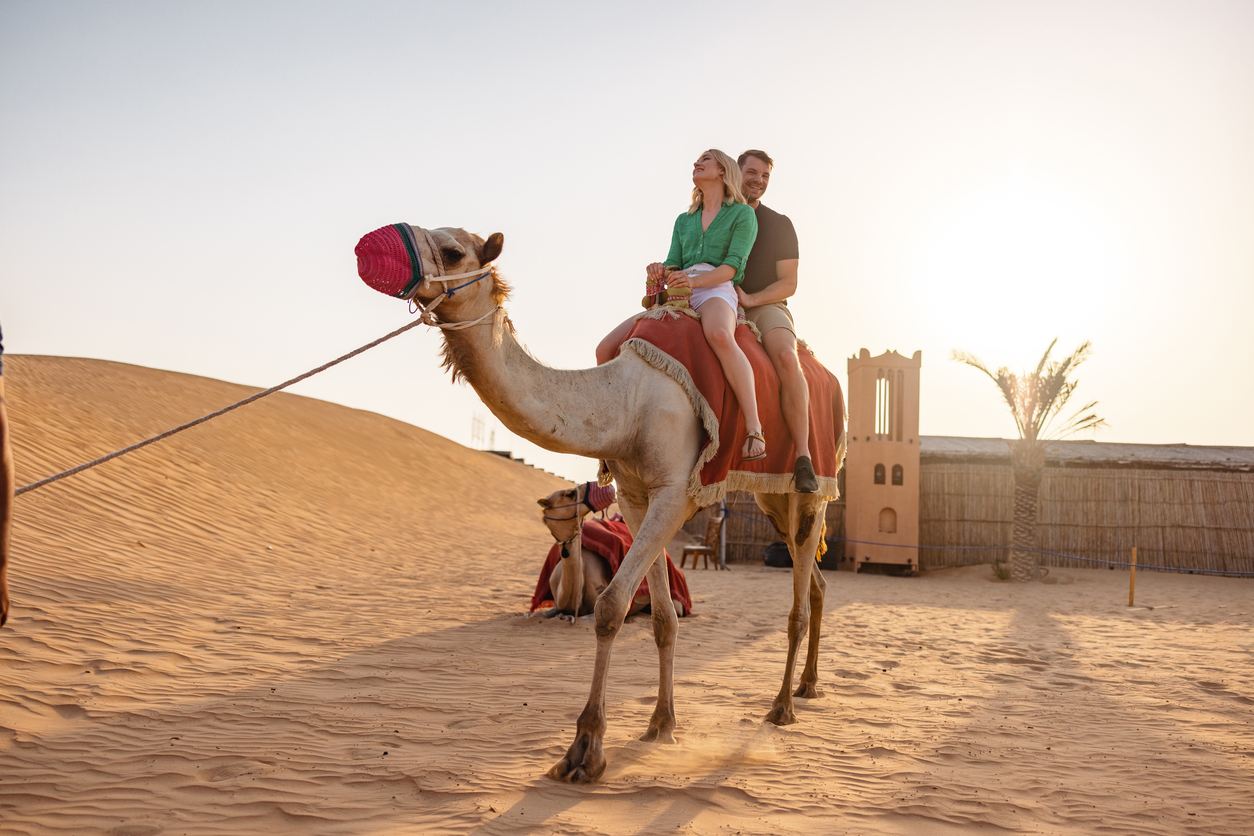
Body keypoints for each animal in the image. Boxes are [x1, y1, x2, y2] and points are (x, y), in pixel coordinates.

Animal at [359, 224, 835, 784]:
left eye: (454, 252)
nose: (371, 247)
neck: (625, 403)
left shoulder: (675, 490)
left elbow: (610, 606)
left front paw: (585, 750)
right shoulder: (634, 493)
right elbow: (662, 617)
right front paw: (661, 726)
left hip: (811, 487)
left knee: (799, 593)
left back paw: (782, 707)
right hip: (769, 496)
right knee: (815, 580)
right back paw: (807, 685)